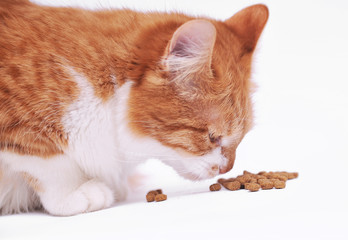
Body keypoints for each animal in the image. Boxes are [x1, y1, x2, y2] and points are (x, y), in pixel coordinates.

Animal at [0, 0, 270, 217]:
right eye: (212, 137)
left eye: (241, 137)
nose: (227, 168)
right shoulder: (16, 120)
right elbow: (50, 163)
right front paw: (75, 192)